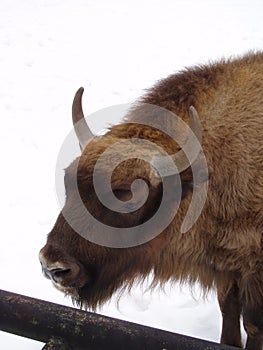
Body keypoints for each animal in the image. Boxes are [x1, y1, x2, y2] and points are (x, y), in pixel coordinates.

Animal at [39, 52, 263, 350]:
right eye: (68, 179)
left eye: (129, 196)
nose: (52, 266)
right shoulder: (227, 268)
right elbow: (228, 312)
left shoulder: (252, 272)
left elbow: (252, 325)